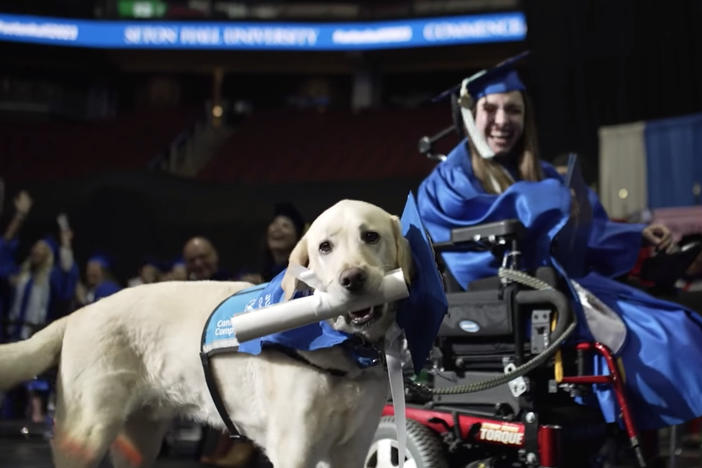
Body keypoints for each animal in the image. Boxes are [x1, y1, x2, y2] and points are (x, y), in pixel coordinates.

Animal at [0, 199, 412, 466]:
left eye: (371, 236)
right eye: (325, 246)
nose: (352, 279)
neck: (344, 351)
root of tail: (79, 312)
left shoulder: (352, 449)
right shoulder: (294, 449)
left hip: (139, 440)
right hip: (85, 434)